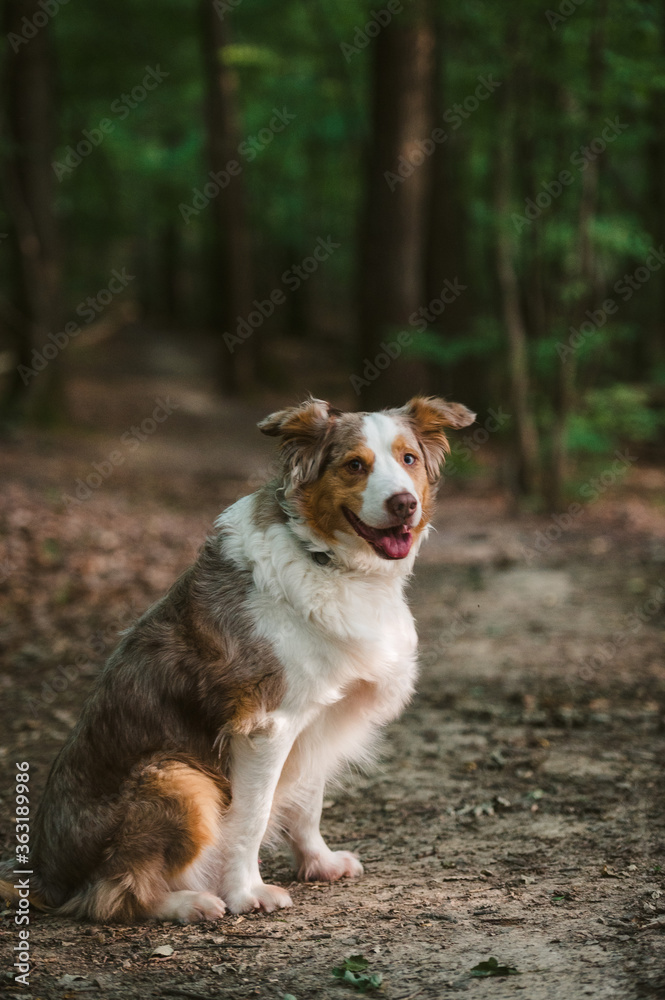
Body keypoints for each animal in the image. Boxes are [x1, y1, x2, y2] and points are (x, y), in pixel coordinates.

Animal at [2, 396, 474, 920]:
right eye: (355, 465)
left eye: (408, 459)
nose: (404, 504)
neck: (326, 560)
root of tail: (44, 877)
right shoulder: (265, 724)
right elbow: (252, 817)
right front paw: (247, 893)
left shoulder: (315, 717)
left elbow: (308, 801)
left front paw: (319, 862)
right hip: (178, 777)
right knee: (110, 893)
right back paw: (188, 902)